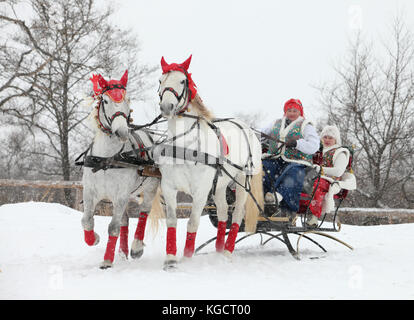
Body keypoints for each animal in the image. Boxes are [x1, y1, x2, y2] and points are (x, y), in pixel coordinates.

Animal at [80, 71, 163, 268]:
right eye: (105, 100)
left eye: (128, 99)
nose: (122, 132)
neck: (106, 160)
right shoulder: (90, 192)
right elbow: (86, 220)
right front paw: (93, 239)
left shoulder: (120, 195)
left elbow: (113, 227)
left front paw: (106, 261)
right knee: (125, 220)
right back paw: (123, 252)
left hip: (148, 189)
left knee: (143, 213)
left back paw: (136, 248)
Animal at [154, 56, 264, 268]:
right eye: (160, 81)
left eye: (182, 81)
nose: (166, 107)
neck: (186, 146)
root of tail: (245, 126)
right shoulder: (169, 187)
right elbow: (172, 220)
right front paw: (170, 258)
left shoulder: (201, 190)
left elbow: (193, 222)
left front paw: (187, 257)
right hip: (220, 185)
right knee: (222, 212)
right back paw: (219, 251)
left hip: (241, 181)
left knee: (236, 214)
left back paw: (228, 252)